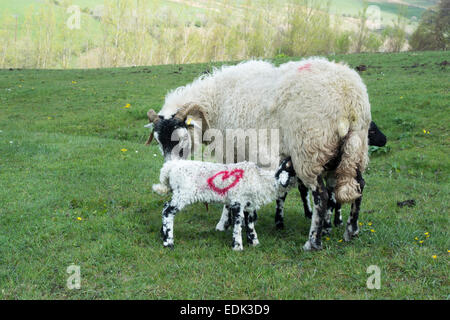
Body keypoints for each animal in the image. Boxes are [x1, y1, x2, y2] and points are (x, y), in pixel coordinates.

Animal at [153, 158, 298, 250]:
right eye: (292, 165)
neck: (262, 180)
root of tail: (170, 167)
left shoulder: (249, 204)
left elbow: (250, 224)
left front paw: (254, 243)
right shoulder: (237, 201)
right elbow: (238, 224)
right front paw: (237, 247)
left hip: (178, 193)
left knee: (165, 208)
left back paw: (163, 235)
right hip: (183, 193)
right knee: (167, 212)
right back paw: (168, 242)